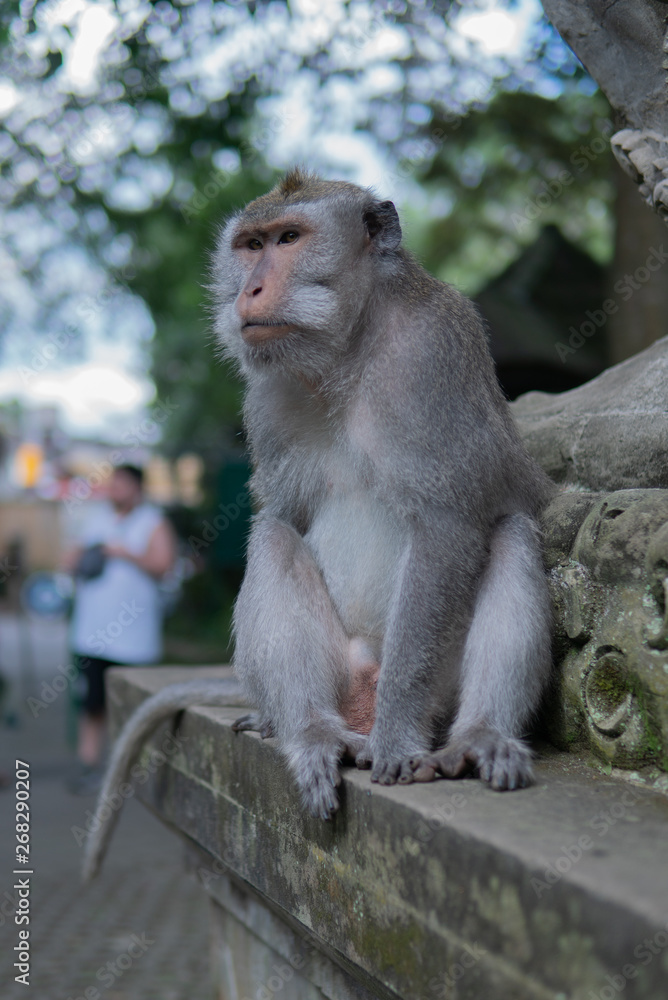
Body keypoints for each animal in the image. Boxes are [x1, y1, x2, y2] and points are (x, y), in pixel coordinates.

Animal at [83, 168, 552, 880]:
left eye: (289, 239)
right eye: (250, 245)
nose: (249, 289)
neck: (348, 351)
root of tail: (358, 698)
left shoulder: (434, 349)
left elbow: (448, 523)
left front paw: (399, 741)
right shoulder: (265, 397)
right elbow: (285, 517)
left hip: (428, 682)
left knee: (512, 535)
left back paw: (476, 736)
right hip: (339, 668)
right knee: (273, 540)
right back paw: (307, 730)